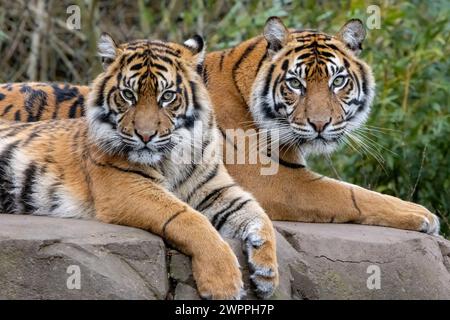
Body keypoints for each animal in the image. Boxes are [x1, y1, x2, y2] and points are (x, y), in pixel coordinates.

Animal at [0, 17, 438, 235]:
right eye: (296, 83)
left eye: (338, 81)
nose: (319, 124)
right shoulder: (275, 181)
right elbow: (352, 195)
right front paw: (424, 215)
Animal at [0, 33, 280, 298]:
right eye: (128, 95)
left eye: (167, 96)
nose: (145, 136)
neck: (172, 156)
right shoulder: (125, 186)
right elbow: (189, 218)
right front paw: (224, 283)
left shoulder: (215, 189)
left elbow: (257, 213)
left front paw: (267, 273)